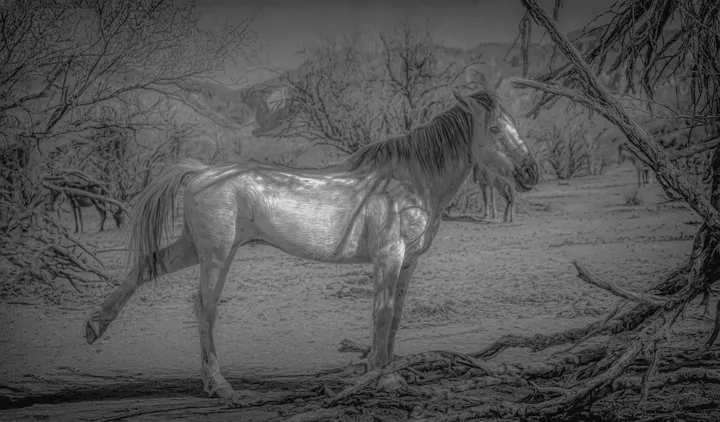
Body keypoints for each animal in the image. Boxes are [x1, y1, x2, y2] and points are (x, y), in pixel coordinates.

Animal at [84, 89, 540, 403]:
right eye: (495, 129)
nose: (531, 172)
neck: (409, 182)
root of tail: (200, 172)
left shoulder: (407, 264)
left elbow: (395, 318)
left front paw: (386, 371)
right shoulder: (388, 258)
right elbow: (382, 314)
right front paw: (383, 377)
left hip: (193, 249)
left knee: (145, 266)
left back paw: (96, 326)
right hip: (215, 257)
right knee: (204, 309)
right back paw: (219, 385)